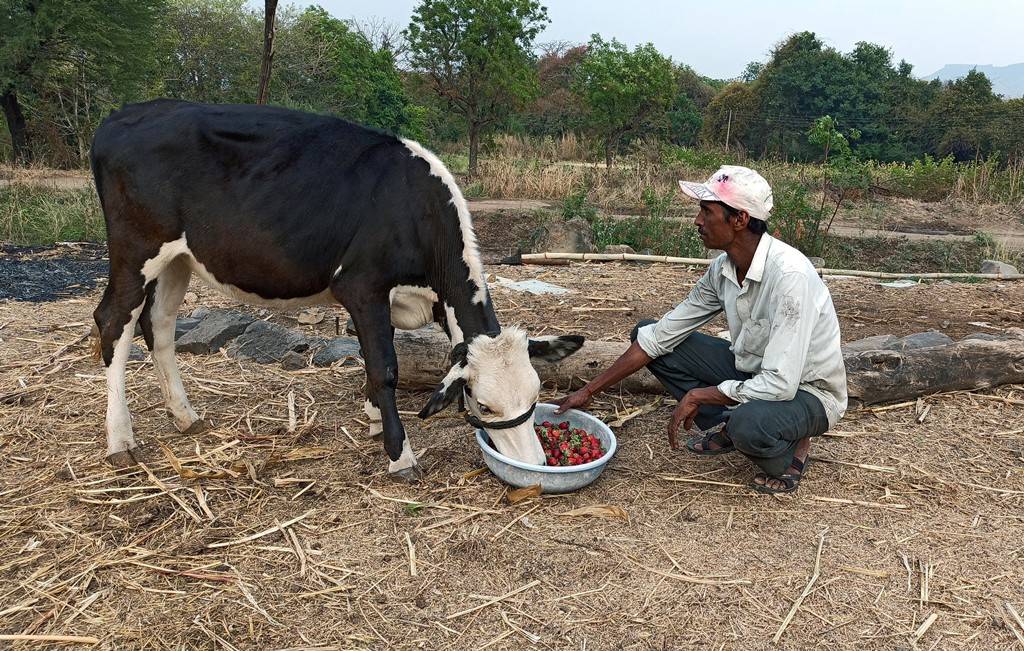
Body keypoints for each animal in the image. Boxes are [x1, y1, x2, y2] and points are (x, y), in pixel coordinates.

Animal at [90, 100, 585, 479]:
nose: (536, 462)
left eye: (536, 394)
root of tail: (121, 115)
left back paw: (184, 416)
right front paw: (399, 454)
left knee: (159, 324)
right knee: (113, 321)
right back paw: (120, 440)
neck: (414, 208)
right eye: (483, 405)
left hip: (178, 258)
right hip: (135, 249)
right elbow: (385, 368)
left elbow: (372, 359)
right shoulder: (362, 286)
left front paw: (374, 420)